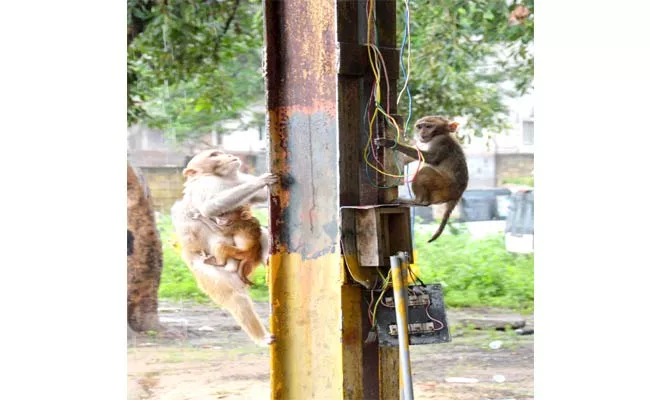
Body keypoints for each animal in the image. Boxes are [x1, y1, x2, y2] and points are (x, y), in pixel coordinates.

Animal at [170, 148, 278, 346]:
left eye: (220, 152)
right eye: (214, 155)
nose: (229, 156)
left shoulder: (237, 180)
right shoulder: (206, 185)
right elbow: (209, 208)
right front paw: (261, 180)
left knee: (262, 235)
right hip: (208, 272)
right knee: (236, 297)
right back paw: (261, 338)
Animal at [372, 114, 468, 242]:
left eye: (428, 126)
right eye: (420, 126)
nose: (422, 132)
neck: (437, 136)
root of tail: (458, 194)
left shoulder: (441, 142)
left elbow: (430, 158)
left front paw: (391, 143)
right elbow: (410, 158)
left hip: (445, 187)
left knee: (425, 172)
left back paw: (419, 201)